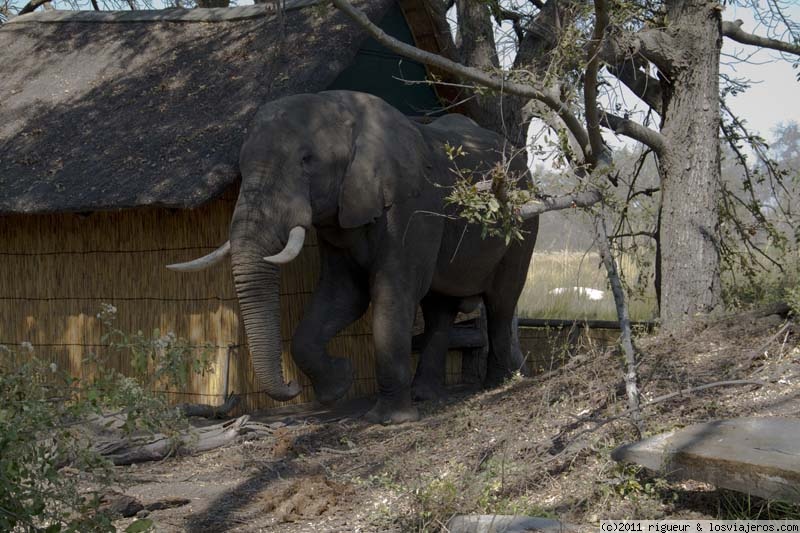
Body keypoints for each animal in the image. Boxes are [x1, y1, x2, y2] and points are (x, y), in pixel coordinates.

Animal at [167, 90, 536, 424]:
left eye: (307, 160)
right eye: (240, 168)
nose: (290, 386)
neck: (347, 113)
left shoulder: (410, 207)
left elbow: (391, 293)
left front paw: (390, 420)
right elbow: (343, 294)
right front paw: (340, 383)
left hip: (522, 226)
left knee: (501, 302)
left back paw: (497, 385)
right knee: (439, 308)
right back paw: (427, 395)